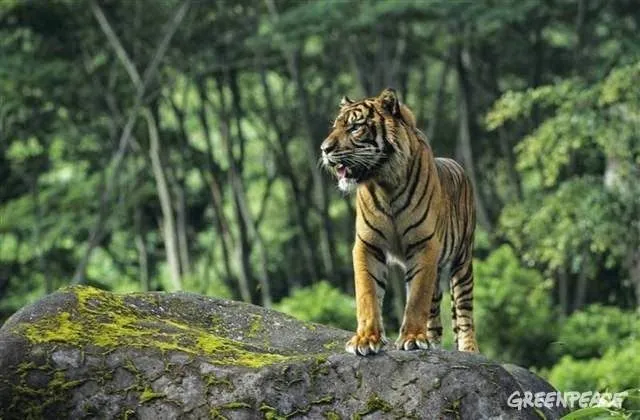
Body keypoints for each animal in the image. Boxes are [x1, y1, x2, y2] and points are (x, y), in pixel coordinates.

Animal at [322, 88, 478, 354]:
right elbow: (367, 293)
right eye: (335, 126)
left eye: (355, 127)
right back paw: (433, 341)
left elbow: (416, 298)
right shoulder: (367, 245)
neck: (385, 183)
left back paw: (469, 349)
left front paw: (413, 338)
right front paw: (366, 339)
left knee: (464, 310)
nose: (324, 149)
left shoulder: (424, 245)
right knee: (435, 314)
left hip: (462, 261)